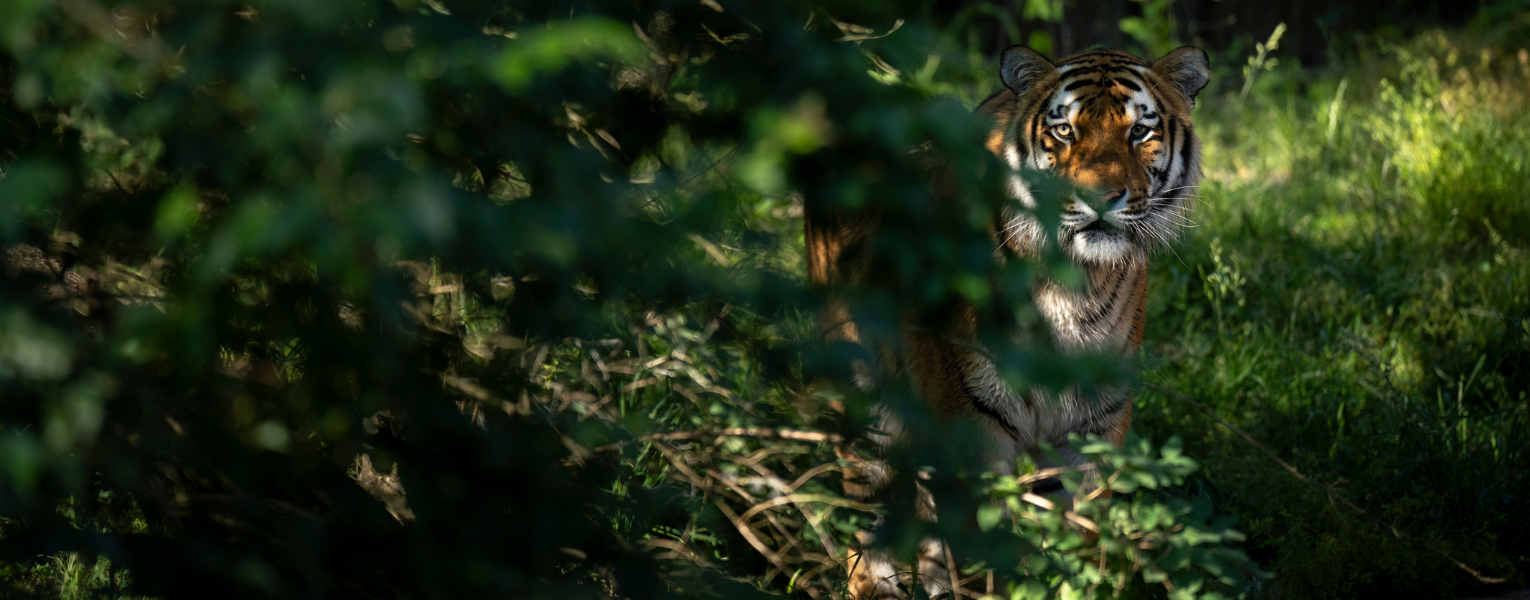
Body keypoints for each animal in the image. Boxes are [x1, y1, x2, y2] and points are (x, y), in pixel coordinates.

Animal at [805, 45, 1210, 599]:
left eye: (1139, 132)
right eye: (1065, 131)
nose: (1101, 198)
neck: (1076, 284)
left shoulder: (1095, 426)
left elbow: (1080, 545)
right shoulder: (970, 430)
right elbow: (984, 556)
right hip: (866, 399)